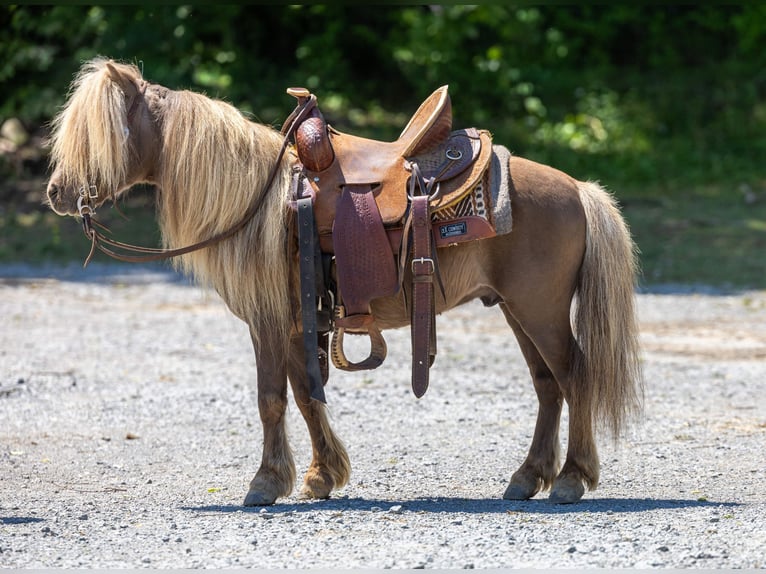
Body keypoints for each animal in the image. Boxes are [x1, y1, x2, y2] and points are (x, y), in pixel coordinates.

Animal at [46, 58, 643, 506]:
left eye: (97, 135)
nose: (55, 192)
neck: (264, 200)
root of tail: (578, 189)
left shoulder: (266, 321)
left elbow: (270, 398)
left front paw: (265, 483)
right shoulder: (294, 321)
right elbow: (307, 395)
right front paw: (319, 476)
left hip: (540, 310)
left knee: (575, 376)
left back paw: (571, 479)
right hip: (518, 310)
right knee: (548, 384)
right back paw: (527, 478)